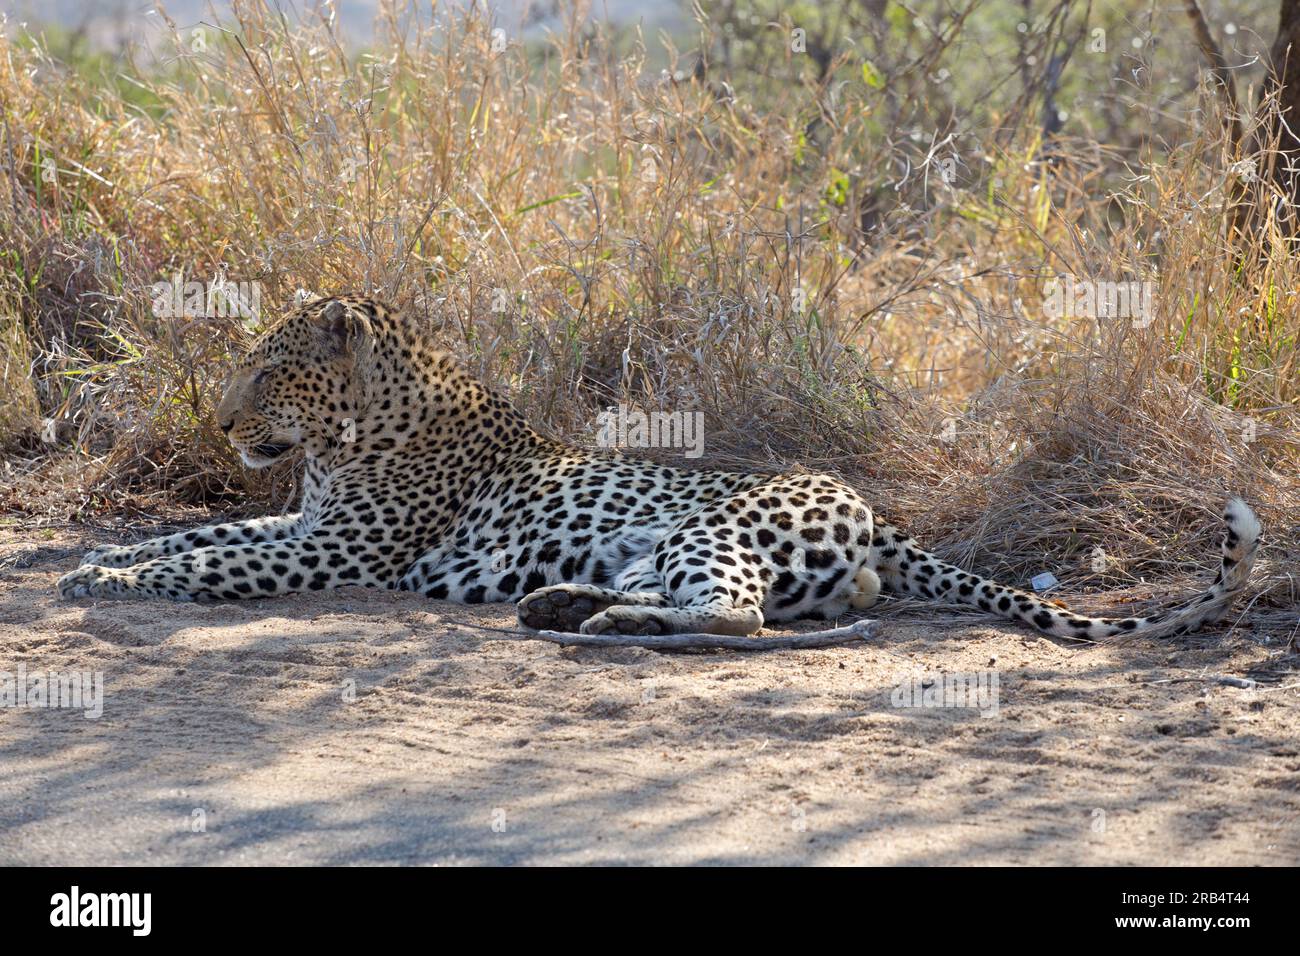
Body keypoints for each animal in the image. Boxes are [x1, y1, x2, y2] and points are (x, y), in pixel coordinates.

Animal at [58, 294, 1261, 642]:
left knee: (738, 616)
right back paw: (563, 604)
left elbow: (205, 563)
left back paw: (592, 620)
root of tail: (875, 513)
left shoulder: (336, 553)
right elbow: (195, 532)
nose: (223, 424)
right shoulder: (303, 526)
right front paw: (89, 567)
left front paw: (116, 580)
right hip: (659, 543)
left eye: (267, 374)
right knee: (724, 602)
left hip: (711, 528)